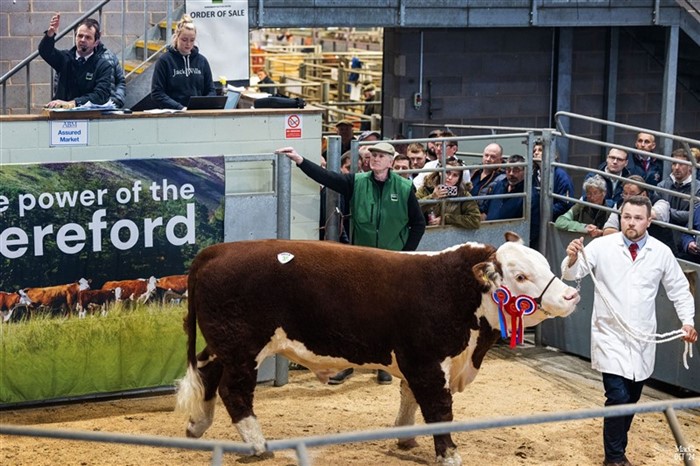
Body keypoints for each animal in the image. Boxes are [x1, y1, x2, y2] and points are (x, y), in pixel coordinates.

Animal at [176, 235, 580, 464]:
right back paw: (259, 447)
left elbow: (409, 397)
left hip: (222, 344)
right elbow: (438, 409)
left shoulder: (420, 364)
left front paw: (404, 437)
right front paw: (449, 454)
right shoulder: (426, 362)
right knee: (234, 391)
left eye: (545, 265)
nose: (570, 295)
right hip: (243, 346)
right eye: (521, 276)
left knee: (207, 372)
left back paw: (197, 426)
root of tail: (215, 252)